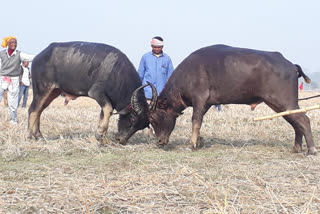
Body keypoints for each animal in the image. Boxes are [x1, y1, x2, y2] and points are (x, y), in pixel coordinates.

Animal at [28, 41, 156, 145]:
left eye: (142, 126)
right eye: (132, 119)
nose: (121, 140)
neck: (116, 72)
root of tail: (38, 57)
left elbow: (104, 114)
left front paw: (102, 137)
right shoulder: (96, 93)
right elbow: (108, 110)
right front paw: (99, 134)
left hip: (53, 92)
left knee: (39, 111)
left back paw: (38, 135)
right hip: (42, 90)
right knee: (33, 109)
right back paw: (31, 136)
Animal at [149, 44, 316, 155]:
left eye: (154, 118)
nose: (159, 142)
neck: (188, 73)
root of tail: (290, 65)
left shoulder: (199, 100)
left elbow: (196, 121)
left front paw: (191, 144)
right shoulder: (207, 104)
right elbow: (200, 121)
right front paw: (200, 141)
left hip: (284, 102)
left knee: (303, 120)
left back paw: (311, 149)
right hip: (279, 105)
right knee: (296, 122)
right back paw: (296, 148)